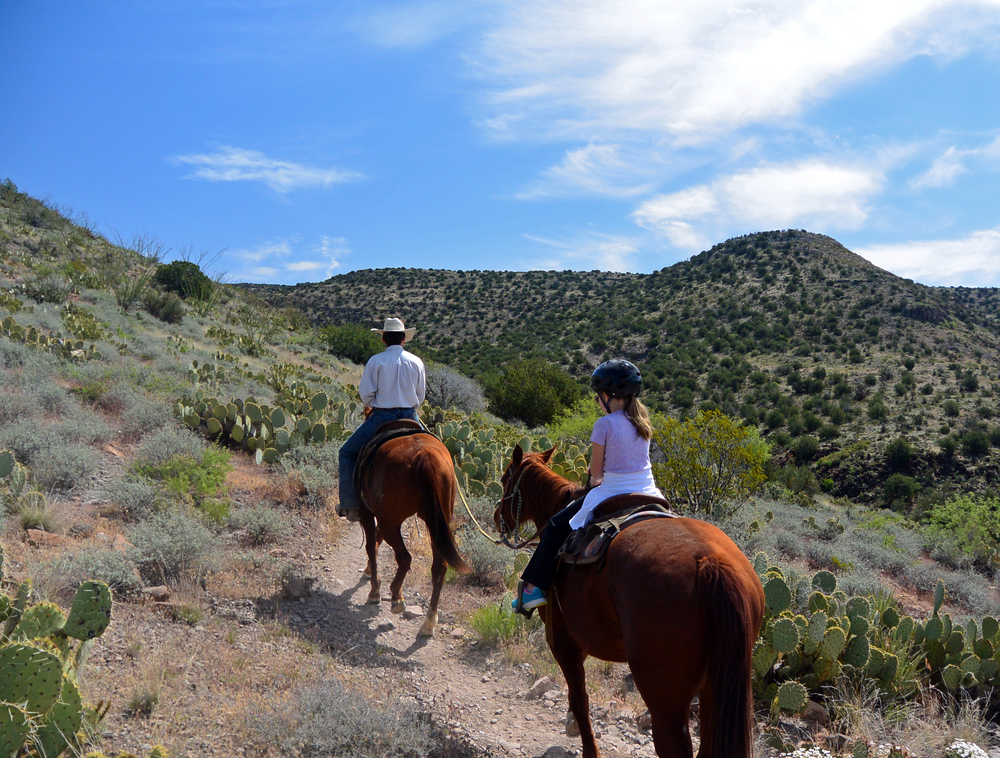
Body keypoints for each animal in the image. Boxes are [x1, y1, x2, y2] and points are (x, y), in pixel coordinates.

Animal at [358, 424, 470, 640]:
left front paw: (374, 591)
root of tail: (423, 454)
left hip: (390, 521)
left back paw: (397, 598)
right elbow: (376, 540)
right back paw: (429, 623)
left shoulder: (368, 512)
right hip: (435, 524)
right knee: (439, 567)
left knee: (404, 557)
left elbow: (371, 545)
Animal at [494, 448, 764, 756]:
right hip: (712, 689)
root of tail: (709, 562)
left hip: (666, 701)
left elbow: (580, 697)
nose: (497, 518)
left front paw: (587, 745)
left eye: (505, 479)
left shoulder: (561, 638)